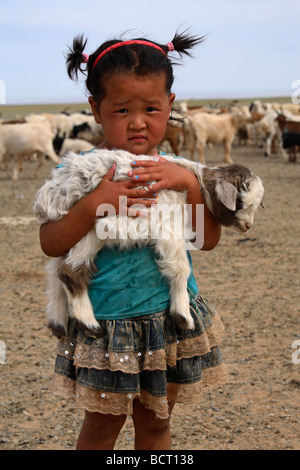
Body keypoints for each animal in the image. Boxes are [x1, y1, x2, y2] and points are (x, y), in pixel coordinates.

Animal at [32, 149, 262, 336]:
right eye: (240, 203)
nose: (248, 226)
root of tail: (53, 189)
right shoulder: (169, 226)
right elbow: (180, 269)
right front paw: (183, 316)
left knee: (55, 270)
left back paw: (58, 322)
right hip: (89, 225)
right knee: (69, 271)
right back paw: (88, 323)